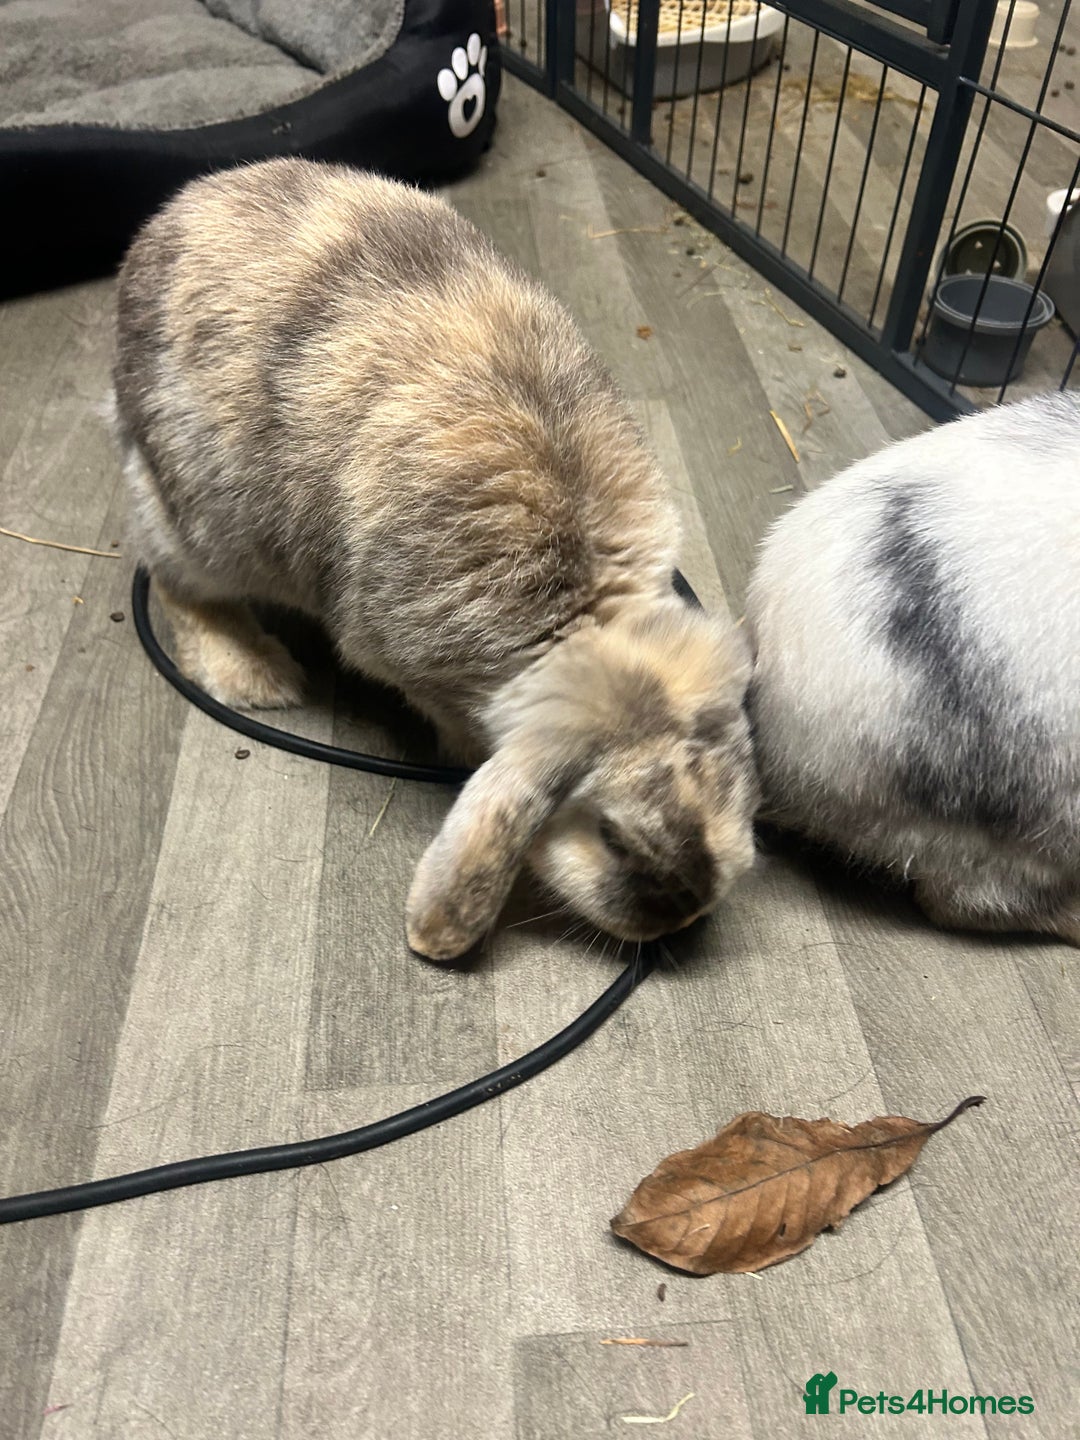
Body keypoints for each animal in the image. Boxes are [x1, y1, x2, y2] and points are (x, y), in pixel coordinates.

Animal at [113, 157, 758, 961]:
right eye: (611, 834)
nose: (685, 914)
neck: (584, 613)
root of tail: (163, 223)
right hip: (201, 524)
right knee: (178, 585)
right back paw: (258, 676)